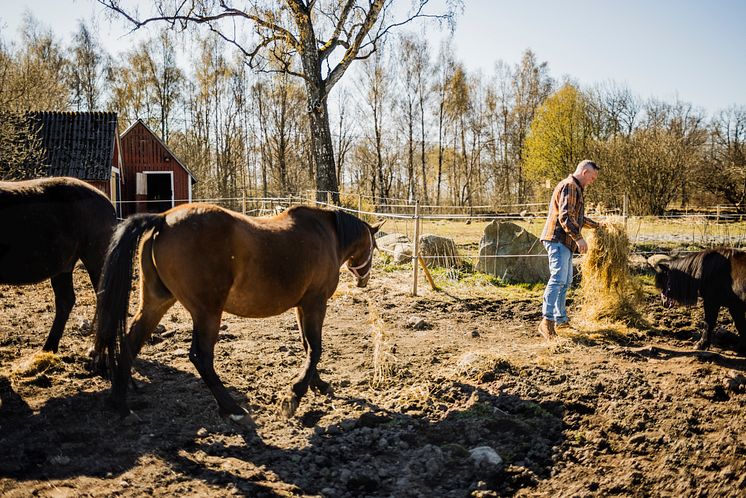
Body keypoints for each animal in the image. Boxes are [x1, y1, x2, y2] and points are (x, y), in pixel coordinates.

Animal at [93, 204, 380, 422]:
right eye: (374, 247)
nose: (364, 280)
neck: (327, 235)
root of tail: (164, 219)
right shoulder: (315, 304)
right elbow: (316, 348)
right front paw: (294, 396)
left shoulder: (302, 306)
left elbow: (307, 346)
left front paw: (316, 384)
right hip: (207, 313)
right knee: (201, 357)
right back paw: (231, 408)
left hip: (156, 304)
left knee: (130, 343)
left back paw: (120, 403)